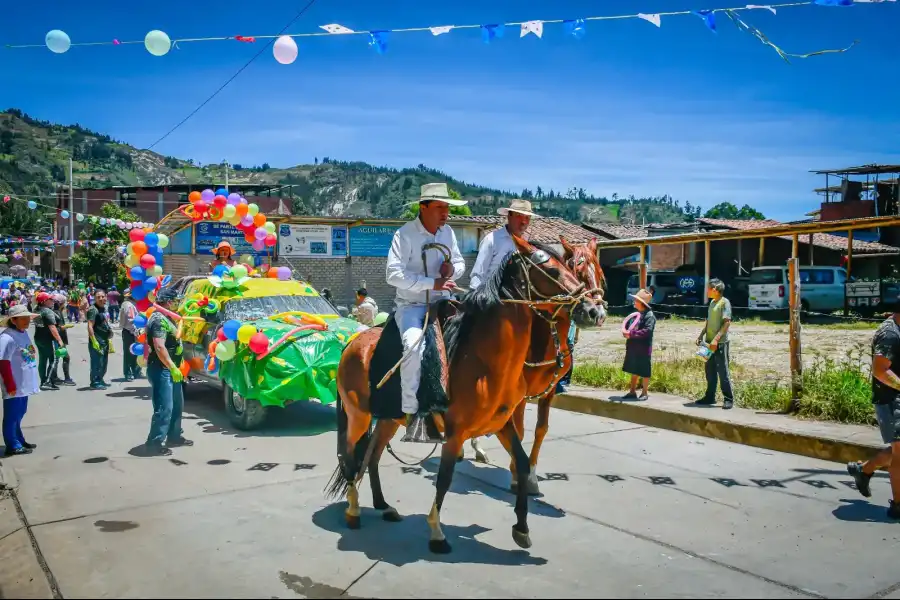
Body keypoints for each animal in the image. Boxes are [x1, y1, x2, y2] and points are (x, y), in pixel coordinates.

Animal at [326, 234, 604, 552]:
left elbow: (522, 463)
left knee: (372, 456)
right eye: (555, 271)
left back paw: (383, 506)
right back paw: (353, 510)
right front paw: (436, 532)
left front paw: (521, 527)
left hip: (386, 419)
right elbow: (445, 478)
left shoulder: (502, 424)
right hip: (359, 416)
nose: (593, 310)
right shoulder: (455, 433)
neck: (484, 361)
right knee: (349, 456)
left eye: (581, 269)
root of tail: (352, 342)